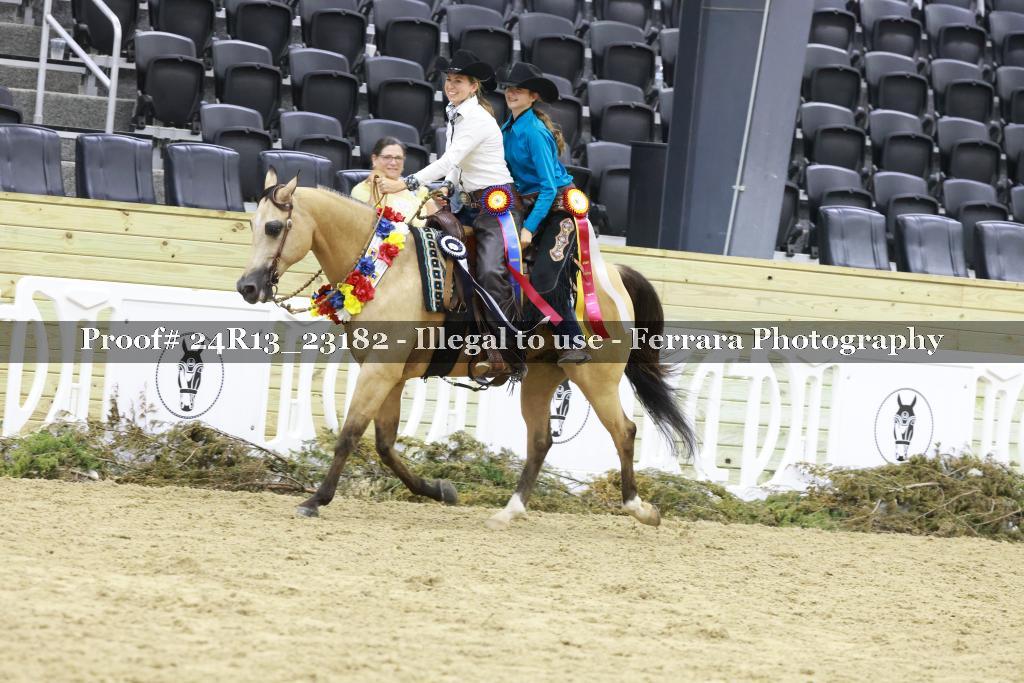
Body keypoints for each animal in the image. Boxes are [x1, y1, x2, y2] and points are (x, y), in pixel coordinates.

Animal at [236, 169, 695, 528]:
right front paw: (439, 489)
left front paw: (316, 500)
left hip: (595, 377)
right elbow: (385, 445)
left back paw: (640, 508)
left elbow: (350, 435)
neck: (387, 268)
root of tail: (611, 275)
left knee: (624, 431)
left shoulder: (380, 371)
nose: (248, 287)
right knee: (541, 441)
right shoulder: (391, 375)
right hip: (543, 377)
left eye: (274, 228)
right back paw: (509, 511)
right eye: (253, 224)